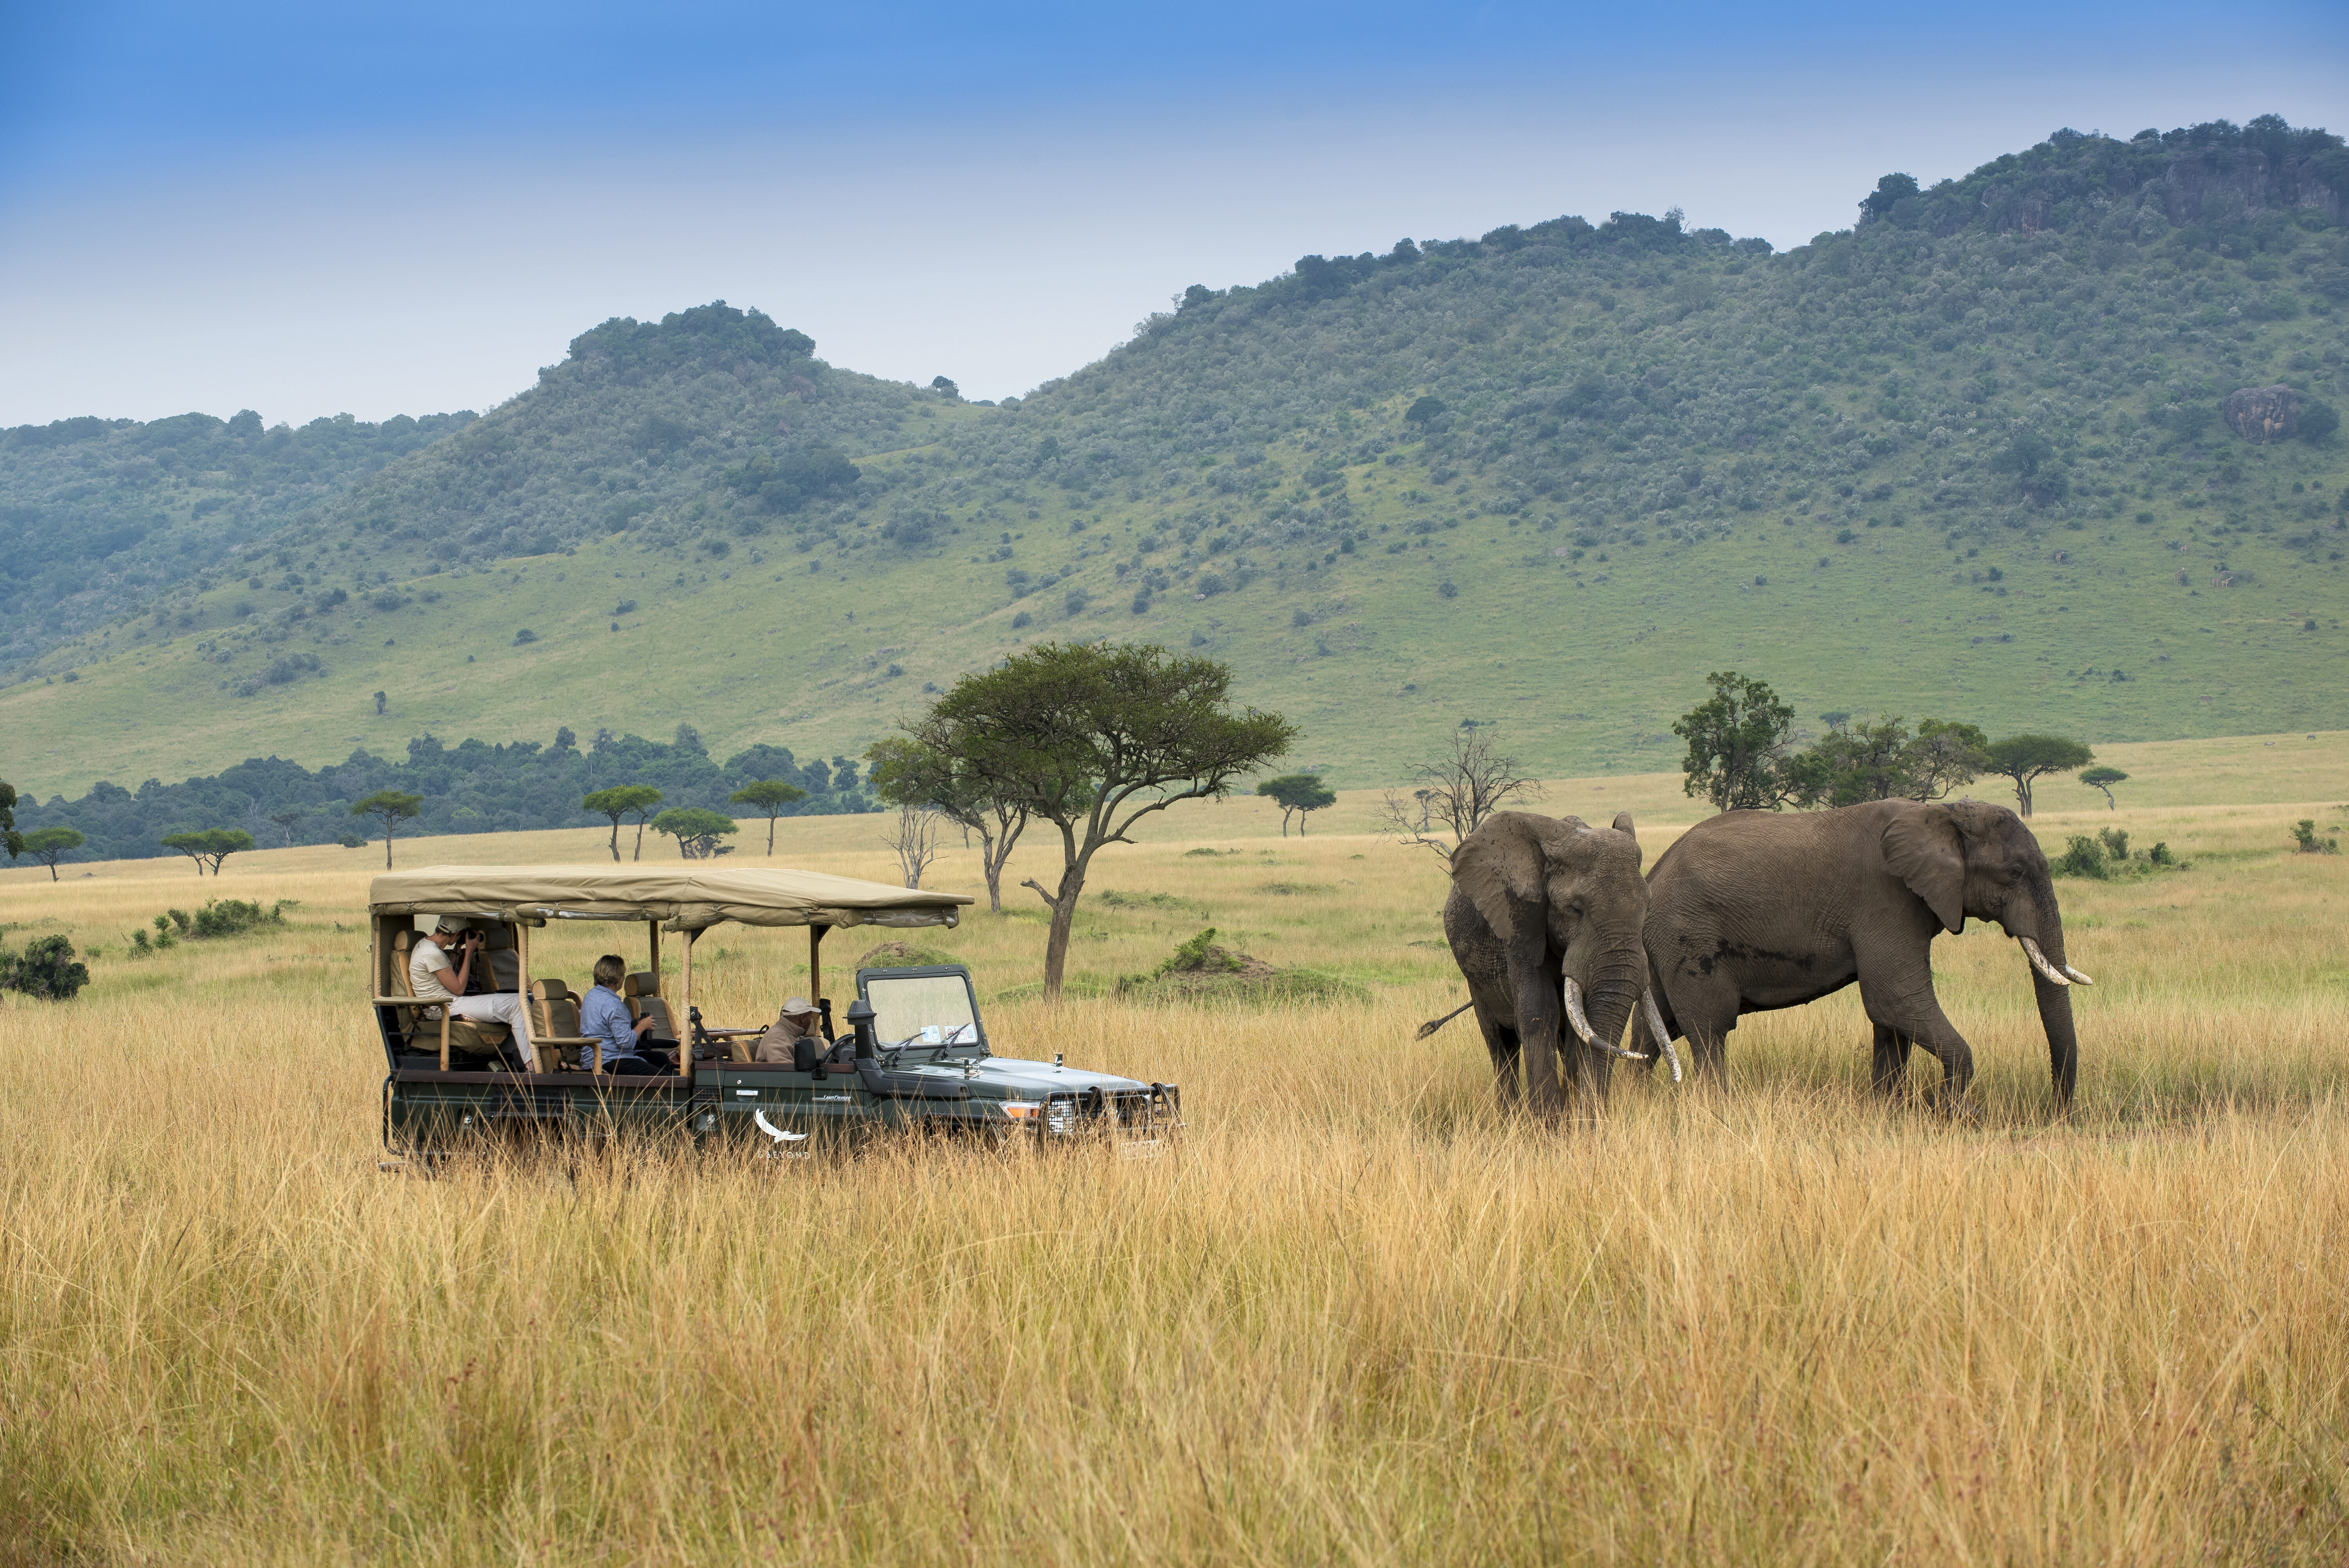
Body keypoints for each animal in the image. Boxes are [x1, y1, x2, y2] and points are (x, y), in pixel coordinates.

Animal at [1437, 810, 1670, 1118]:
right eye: (1575, 909)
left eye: (1647, 907)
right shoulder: (1521, 925)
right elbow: (1539, 1012)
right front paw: (1549, 1124)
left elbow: (1578, 1031)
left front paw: (1571, 1119)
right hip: (1475, 978)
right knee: (1500, 1043)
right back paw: (1508, 1117)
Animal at [1640, 798, 2090, 1109]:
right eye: (2014, 873)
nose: (2056, 1114)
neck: (1941, 814)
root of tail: (1654, 874)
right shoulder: (1886, 899)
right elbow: (1895, 1000)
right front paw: (1951, 1113)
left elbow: (1892, 1018)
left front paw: (1888, 1110)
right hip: (1689, 934)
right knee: (1710, 1029)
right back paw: (1717, 1107)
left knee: (1655, 1028)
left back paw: (1632, 1097)